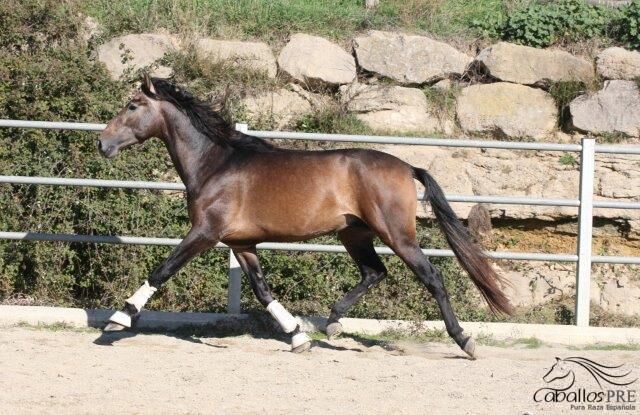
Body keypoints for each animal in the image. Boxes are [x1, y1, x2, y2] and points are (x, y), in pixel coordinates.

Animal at [99, 75, 510, 360]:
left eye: (132, 105)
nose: (102, 144)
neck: (215, 164)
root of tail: (408, 166)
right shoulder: (241, 243)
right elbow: (263, 291)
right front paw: (298, 337)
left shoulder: (205, 232)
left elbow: (162, 270)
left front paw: (118, 318)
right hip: (354, 234)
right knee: (374, 272)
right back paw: (333, 323)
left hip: (396, 234)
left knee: (432, 277)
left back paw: (465, 341)